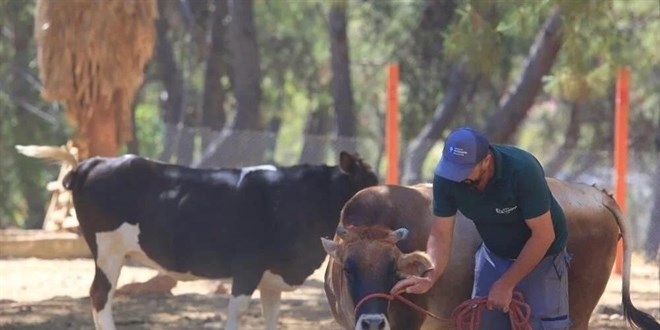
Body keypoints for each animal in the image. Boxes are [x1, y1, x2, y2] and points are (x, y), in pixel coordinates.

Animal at [16, 146, 376, 330]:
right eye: (366, 187)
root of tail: (93, 162)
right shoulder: (247, 267)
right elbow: (236, 312)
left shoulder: (271, 277)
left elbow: (271, 316)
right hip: (108, 251)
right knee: (99, 295)